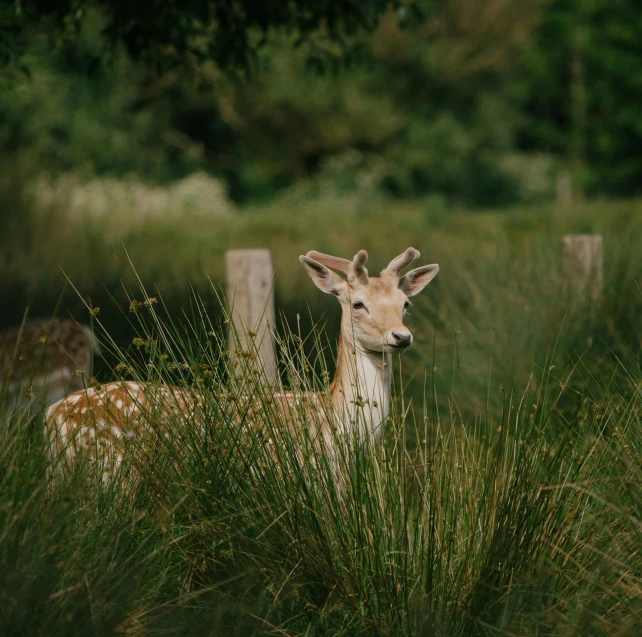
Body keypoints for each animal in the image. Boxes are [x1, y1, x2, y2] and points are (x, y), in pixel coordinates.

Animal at [43, 248, 436, 476]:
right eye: (358, 303)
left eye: (405, 303)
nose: (401, 337)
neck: (334, 421)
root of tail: (52, 415)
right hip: (109, 471)